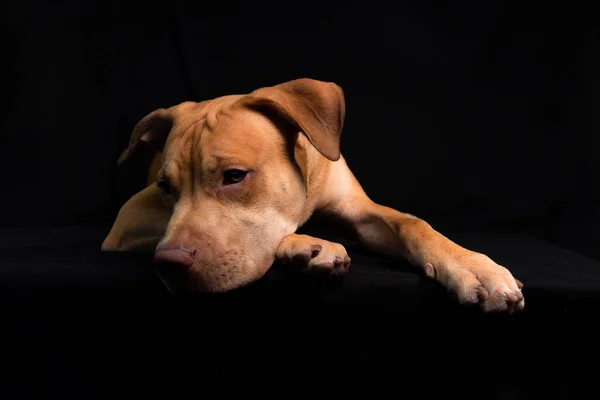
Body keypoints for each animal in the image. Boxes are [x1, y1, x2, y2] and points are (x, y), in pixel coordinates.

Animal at [103, 76, 524, 310]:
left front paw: (473, 266)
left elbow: (413, 224)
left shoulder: (361, 211)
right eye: (165, 188)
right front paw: (306, 245)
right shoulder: (126, 220)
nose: (168, 263)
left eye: (235, 176)